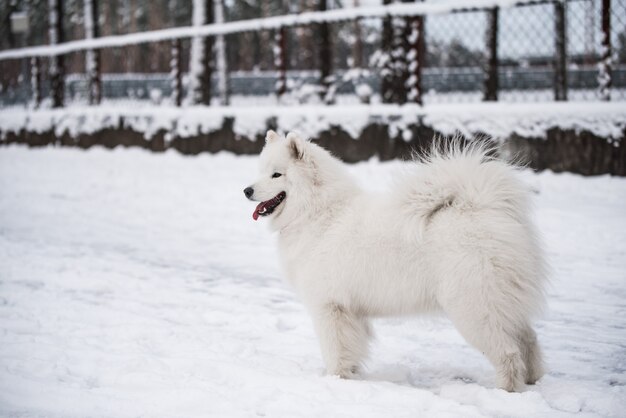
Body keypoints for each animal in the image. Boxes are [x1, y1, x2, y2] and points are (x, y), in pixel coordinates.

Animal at [241, 130, 544, 392]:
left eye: (277, 174)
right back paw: (533, 381)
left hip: (472, 309)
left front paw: (336, 379)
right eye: (260, 171)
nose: (246, 190)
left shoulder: (329, 307)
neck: (319, 213)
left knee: (508, 353)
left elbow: (335, 350)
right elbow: (352, 348)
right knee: (529, 341)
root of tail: (483, 207)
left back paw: (506, 390)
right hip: (503, 304)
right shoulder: (350, 312)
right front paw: (351, 374)